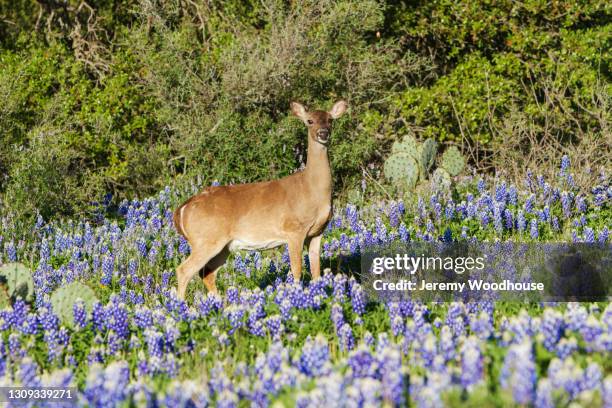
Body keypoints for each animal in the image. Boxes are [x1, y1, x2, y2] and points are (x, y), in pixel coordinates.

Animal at [172, 100, 346, 300]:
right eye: (309, 121)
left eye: (330, 120)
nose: (323, 133)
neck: (311, 190)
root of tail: (183, 209)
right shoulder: (294, 230)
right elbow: (297, 270)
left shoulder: (317, 232)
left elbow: (316, 270)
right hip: (205, 240)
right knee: (184, 270)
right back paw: (181, 305)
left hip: (222, 247)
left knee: (207, 274)